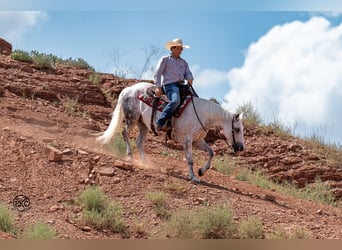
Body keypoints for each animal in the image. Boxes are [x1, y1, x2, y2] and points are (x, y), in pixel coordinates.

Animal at [97, 82, 244, 184]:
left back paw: (146, 162)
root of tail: (128, 89)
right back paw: (130, 156)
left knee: (139, 142)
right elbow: (190, 160)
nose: (241, 148)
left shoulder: (198, 141)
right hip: (132, 118)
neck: (202, 113)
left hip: (143, 124)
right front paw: (193, 177)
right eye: (237, 129)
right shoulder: (187, 141)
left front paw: (201, 171)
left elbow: (211, 152)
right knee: (125, 133)